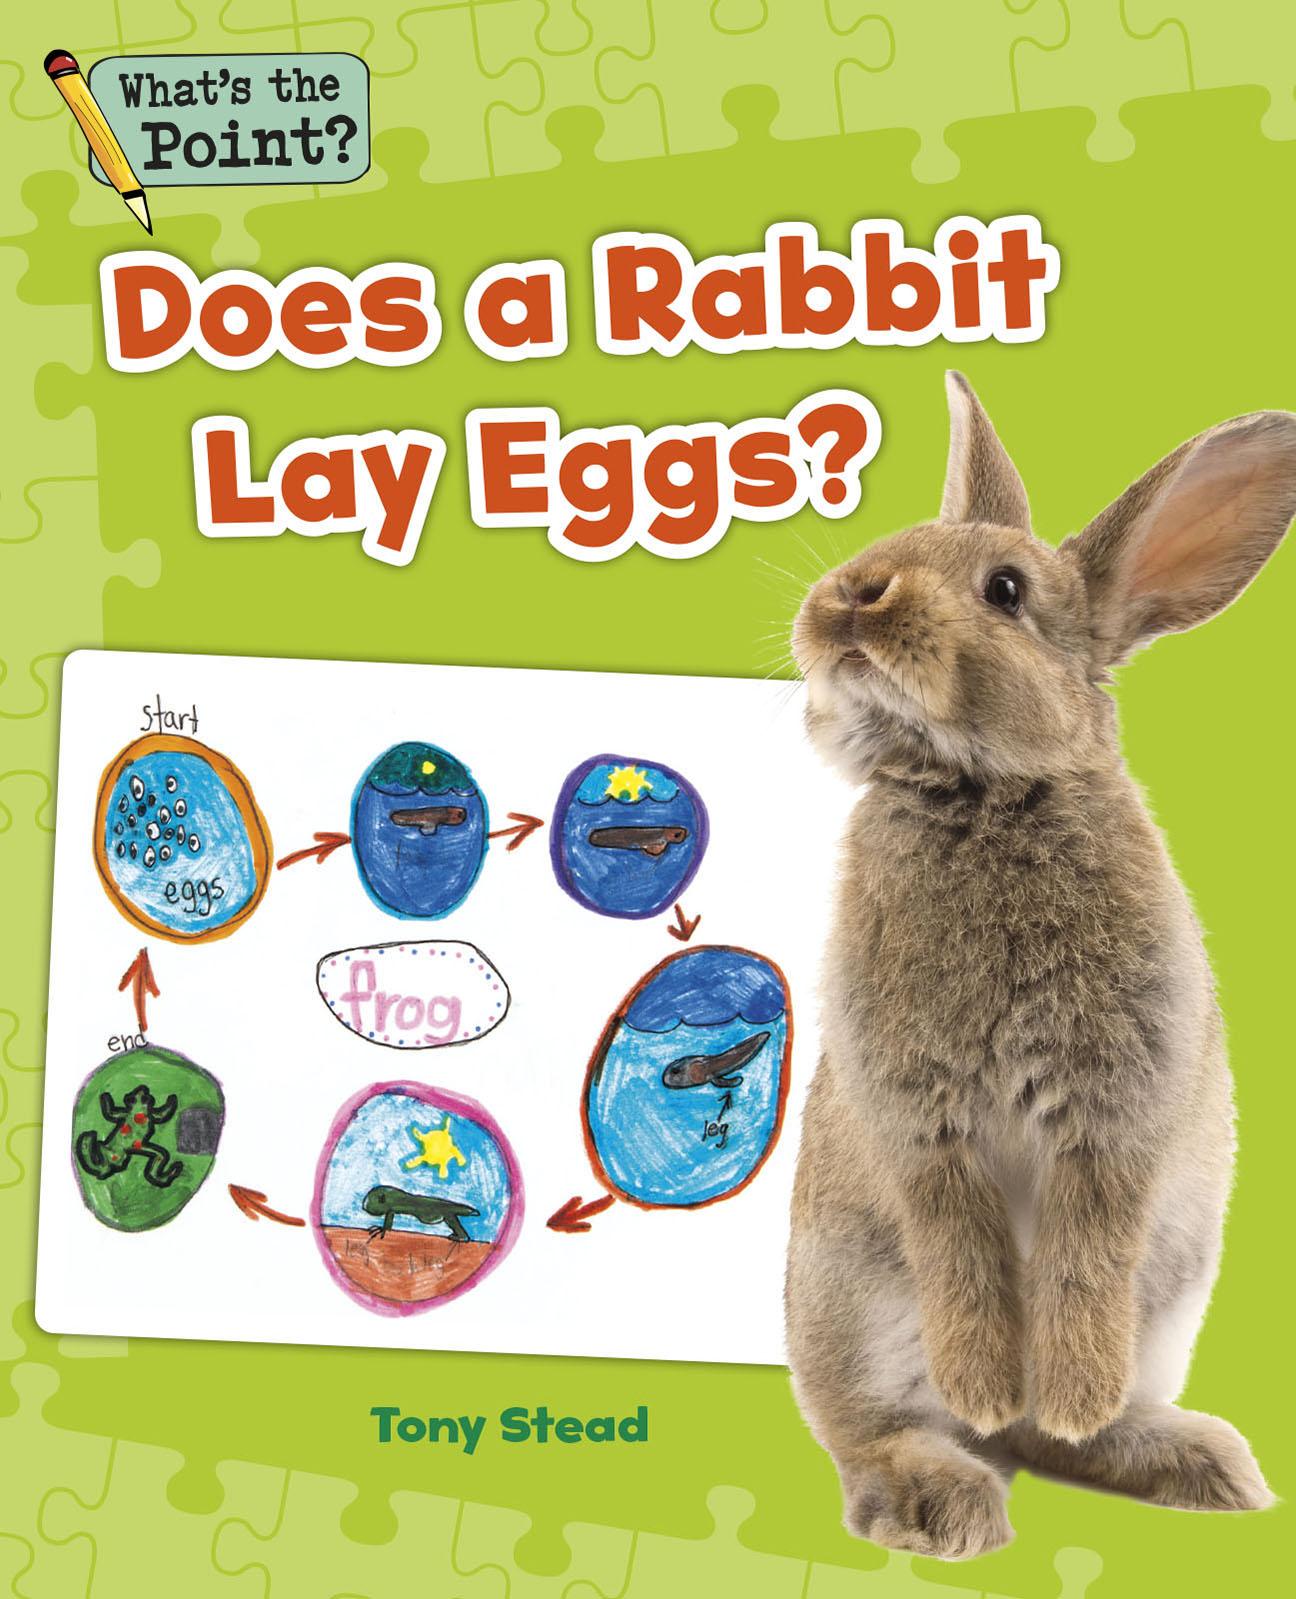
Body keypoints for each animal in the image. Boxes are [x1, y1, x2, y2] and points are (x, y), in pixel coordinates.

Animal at [784, 371, 1295, 1560]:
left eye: (1005, 590)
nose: (850, 596)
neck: (980, 792)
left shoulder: (1115, 1112)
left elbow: (1083, 1253)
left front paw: (1069, 1391)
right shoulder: (919, 1115)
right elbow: (962, 1245)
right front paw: (984, 1379)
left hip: (1170, 1286)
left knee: (1050, 1436)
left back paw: (1171, 1455)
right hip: (848, 1297)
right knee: (878, 1430)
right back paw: (948, 1488)